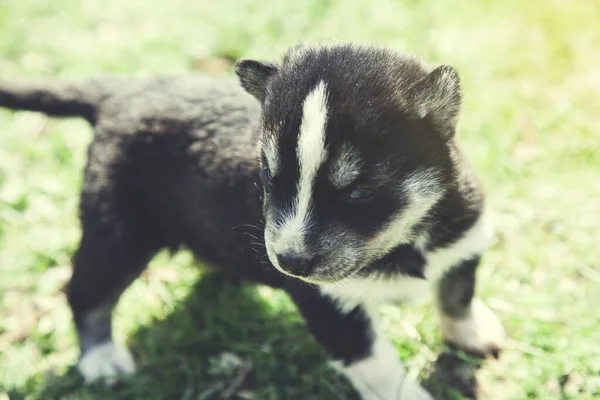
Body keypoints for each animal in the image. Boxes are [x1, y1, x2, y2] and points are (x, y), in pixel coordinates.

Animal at [0, 42, 506, 398]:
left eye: (359, 191)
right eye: (269, 177)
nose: (289, 263)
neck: (400, 241)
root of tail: (121, 92)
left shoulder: (463, 245)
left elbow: (457, 298)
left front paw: (475, 336)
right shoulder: (334, 311)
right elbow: (383, 369)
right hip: (118, 232)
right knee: (86, 293)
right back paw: (101, 360)